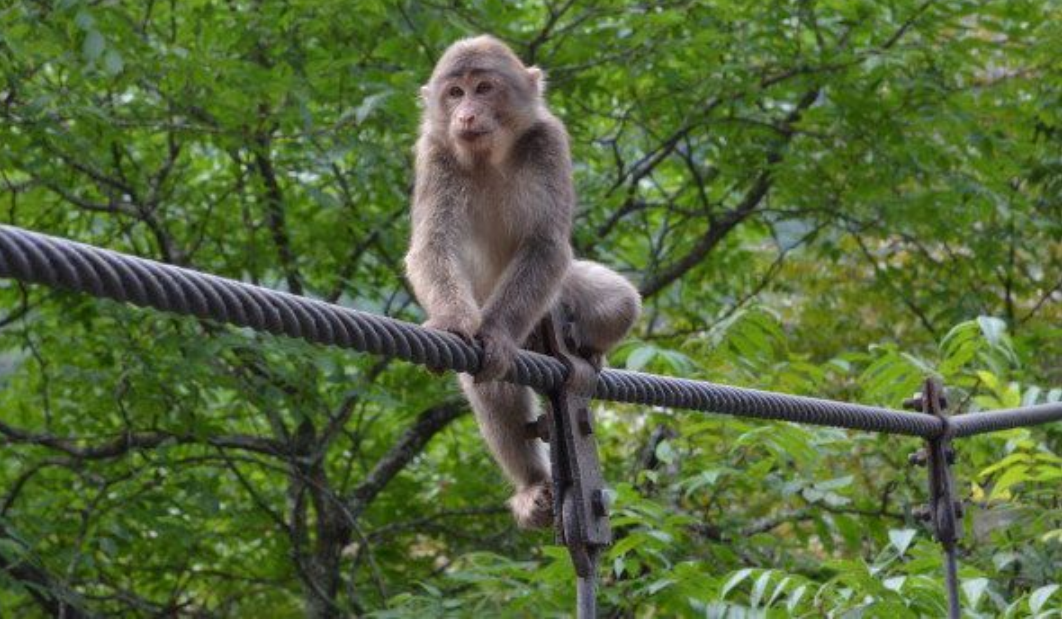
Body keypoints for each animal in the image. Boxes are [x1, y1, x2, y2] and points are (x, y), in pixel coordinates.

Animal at [403, 35, 637, 528]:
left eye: (484, 88)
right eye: (455, 93)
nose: (465, 114)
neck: (490, 156)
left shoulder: (549, 141)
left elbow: (545, 246)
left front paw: (495, 334)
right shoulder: (434, 152)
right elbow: (432, 245)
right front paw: (453, 323)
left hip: (553, 301)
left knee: (619, 304)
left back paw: (587, 350)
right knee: (490, 386)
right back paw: (532, 485)